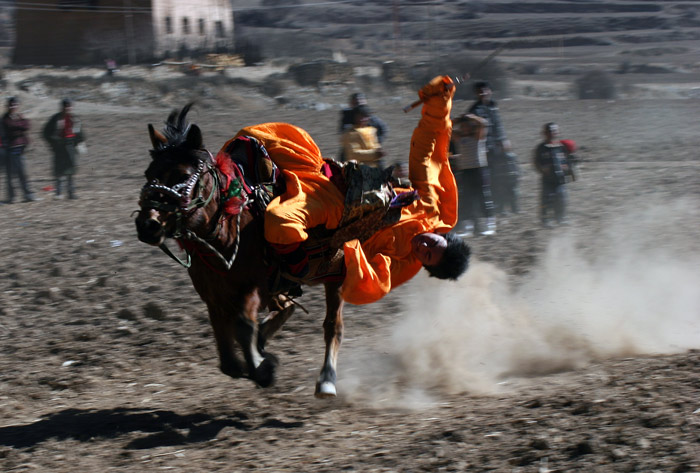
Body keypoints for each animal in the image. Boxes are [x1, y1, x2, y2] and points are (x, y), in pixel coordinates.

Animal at [134, 106, 344, 394]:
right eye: (148, 174)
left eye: (183, 176)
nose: (147, 225)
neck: (222, 234)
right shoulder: (213, 296)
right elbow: (227, 357)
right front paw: (258, 359)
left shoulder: (253, 287)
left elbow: (243, 326)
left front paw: (264, 368)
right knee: (287, 306)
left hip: (334, 273)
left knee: (332, 325)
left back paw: (327, 380)